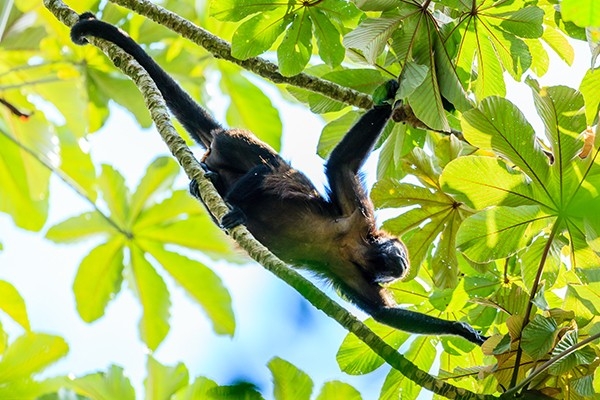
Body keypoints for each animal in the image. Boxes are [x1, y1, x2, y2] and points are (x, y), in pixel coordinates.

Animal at [71, 11, 488, 344]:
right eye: (400, 251)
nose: (402, 264)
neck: (359, 248)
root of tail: (219, 135)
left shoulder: (354, 273)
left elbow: (382, 313)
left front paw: (463, 331)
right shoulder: (359, 215)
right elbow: (341, 164)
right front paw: (394, 92)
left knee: (217, 180)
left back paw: (206, 186)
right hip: (238, 141)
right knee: (268, 169)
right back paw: (237, 206)